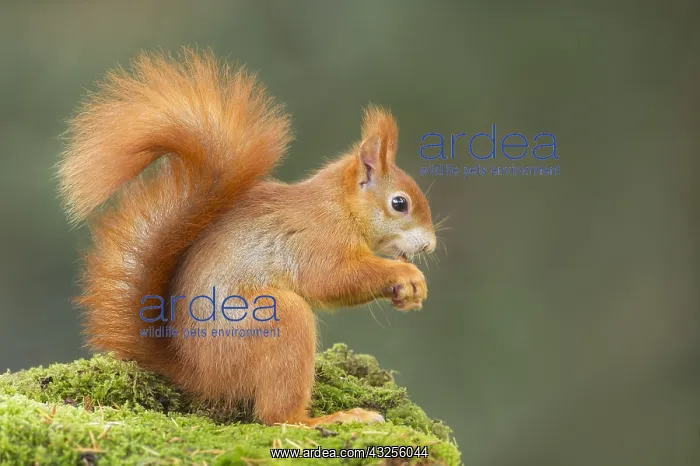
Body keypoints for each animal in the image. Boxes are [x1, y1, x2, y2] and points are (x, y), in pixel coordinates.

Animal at [57, 48, 437, 427]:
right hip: (276, 321)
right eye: (399, 203)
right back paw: (330, 420)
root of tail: (197, 374)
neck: (341, 207)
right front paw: (407, 275)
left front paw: (409, 293)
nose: (430, 245)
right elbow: (332, 279)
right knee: (278, 416)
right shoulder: (317, 240)